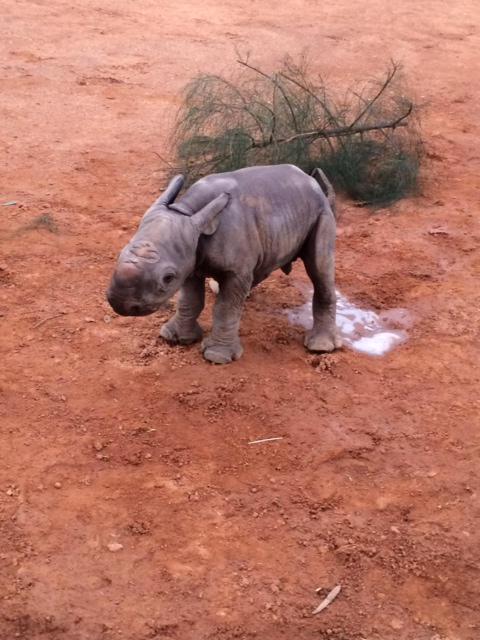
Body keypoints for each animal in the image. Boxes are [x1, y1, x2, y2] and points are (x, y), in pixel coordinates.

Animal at [107, 164, 341, 364]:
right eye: (119, 255)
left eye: (168, 278)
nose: (120, 303)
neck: (187, 211)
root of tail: (313, 184)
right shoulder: (190, 259)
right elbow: (189, 300)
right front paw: (175, 337)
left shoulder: (229, 269)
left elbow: (226, 307)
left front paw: (217, 356)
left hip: (322, 213)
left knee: (319, 267)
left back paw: (321, 347)